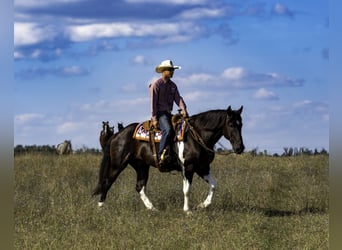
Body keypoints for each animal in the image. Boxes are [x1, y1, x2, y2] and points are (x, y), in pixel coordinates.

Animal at [92, 105, 244, 213]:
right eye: (231, 124)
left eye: (241, 124)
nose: (240, 148)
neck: (197, 136)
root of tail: (117, 134)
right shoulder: (188, 168)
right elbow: (186, 190)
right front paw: (187, 210)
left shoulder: (203, 168)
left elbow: (213, 185)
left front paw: (202, 205)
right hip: (117, 165)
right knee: (107, 182)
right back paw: (100, 207)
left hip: (141, 166)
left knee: (139, 187)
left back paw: (153, 209)